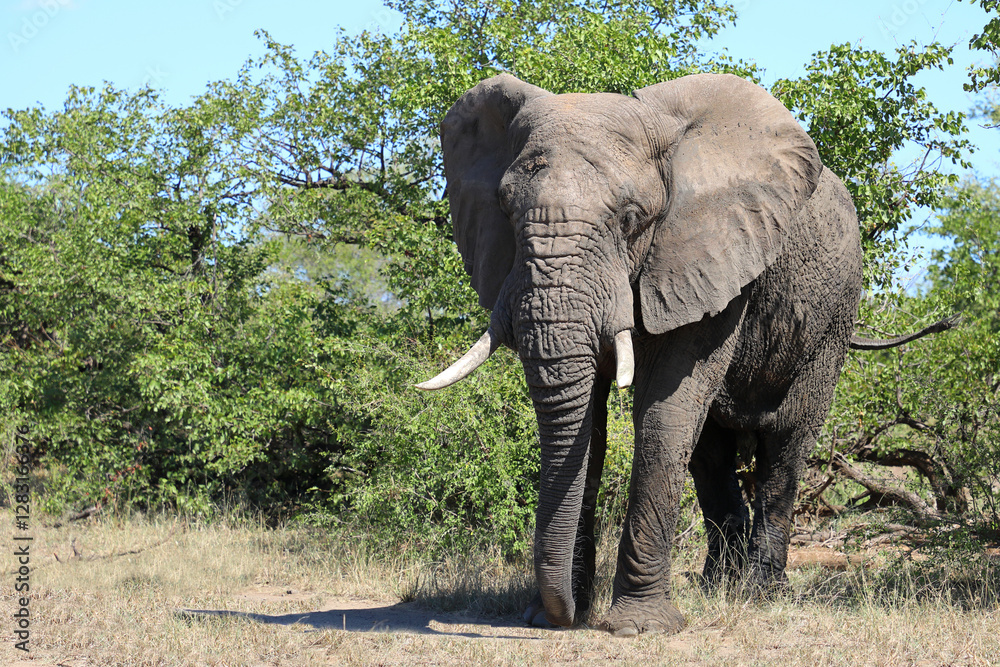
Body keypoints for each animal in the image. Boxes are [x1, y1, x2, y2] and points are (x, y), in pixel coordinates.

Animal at [416, 72, 948, 636]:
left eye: (632, 219)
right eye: (505, 211)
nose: (562, 616)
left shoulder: (711, 260)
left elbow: (665, 412)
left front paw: (639, 627)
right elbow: (590, 424)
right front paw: (554, 614)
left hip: (834, 315)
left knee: (785, 443)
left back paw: (758, 593)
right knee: (711, 454)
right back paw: (718, 586)